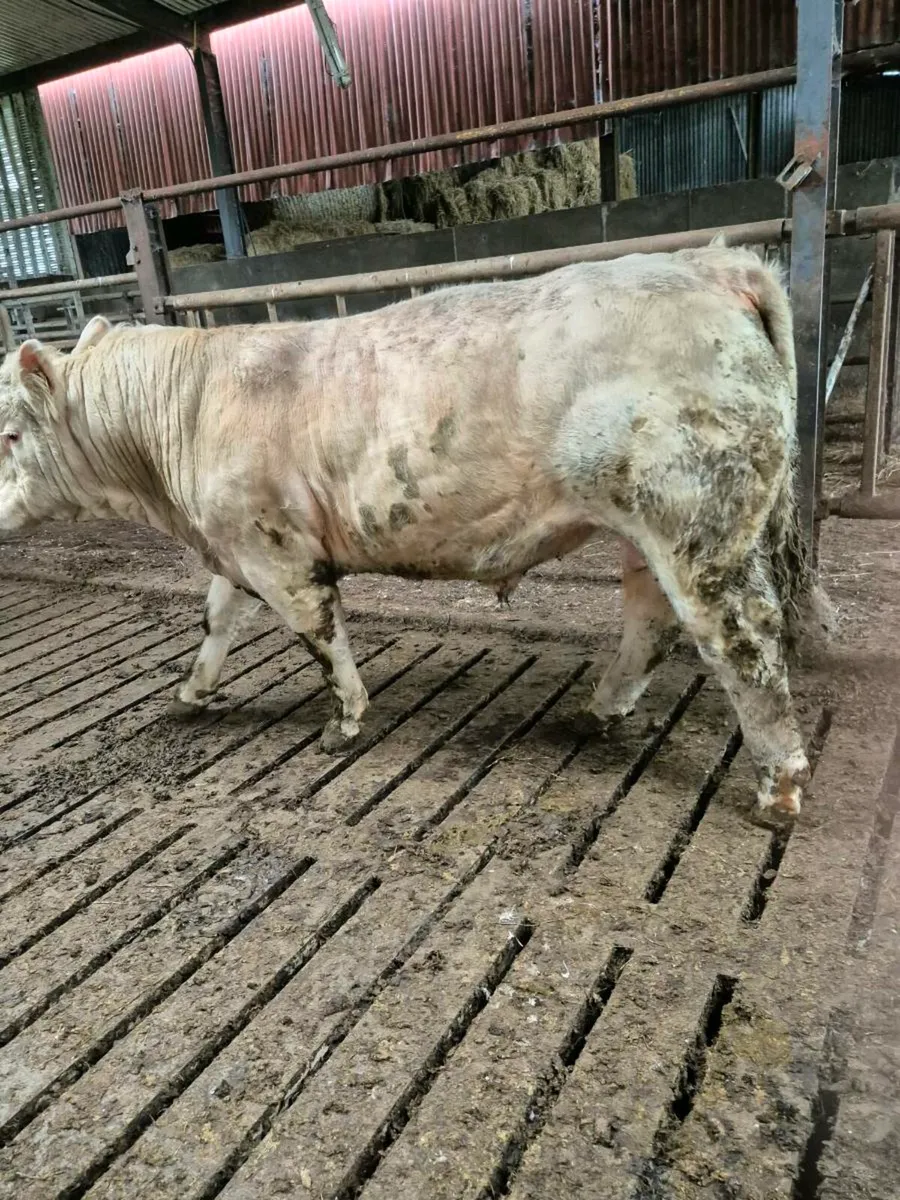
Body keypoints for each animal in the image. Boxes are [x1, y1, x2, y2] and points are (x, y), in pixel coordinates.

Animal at [0, 245, 831, 817]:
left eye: (9, 433)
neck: (189, 409)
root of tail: (710, 262)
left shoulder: (277, 550)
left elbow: (319, 634)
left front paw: (344, 720)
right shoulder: (234, 545)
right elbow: (216, 620)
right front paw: (192, 693)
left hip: (695, 517)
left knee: (741, 637)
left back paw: (779, 790)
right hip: (643, 524)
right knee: (651, 618)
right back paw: (602, 710)